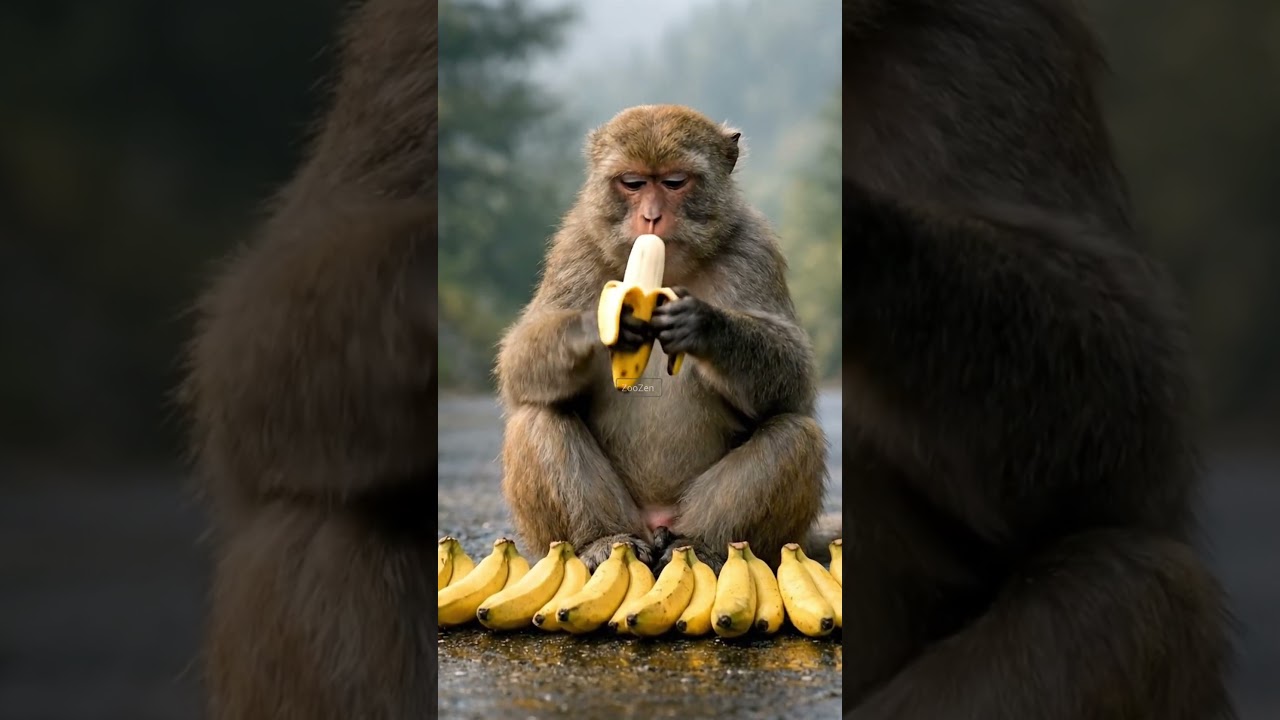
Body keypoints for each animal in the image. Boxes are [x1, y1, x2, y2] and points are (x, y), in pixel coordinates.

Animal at [493, 104, 831, 574]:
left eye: (674, 182)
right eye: (633, 183)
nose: (651, 217)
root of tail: (655, 522)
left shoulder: (753, 249)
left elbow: (795, 375)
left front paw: (705, 325)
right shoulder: (576, 245)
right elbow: (519, 360)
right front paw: (605, 321)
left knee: (795, 435)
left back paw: (704, 545)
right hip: (612, 520)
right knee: (538, 416)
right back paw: (601, 540)